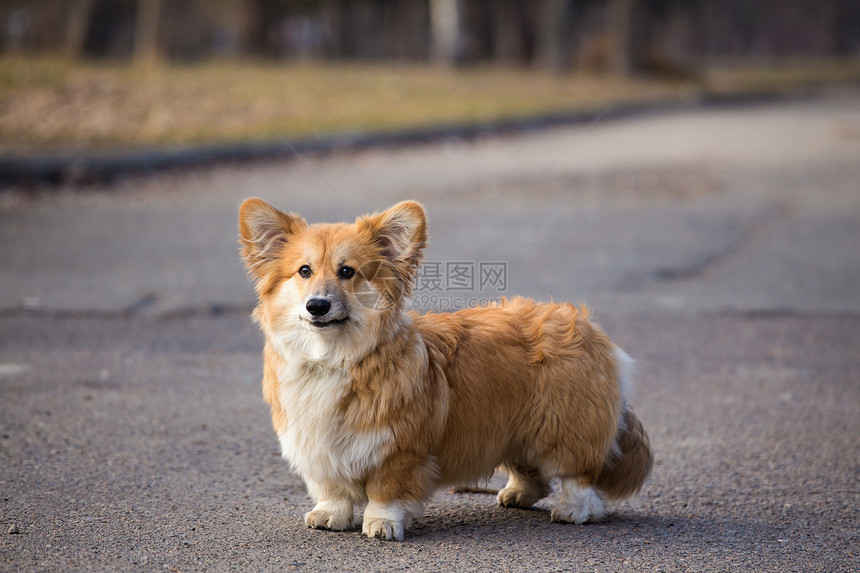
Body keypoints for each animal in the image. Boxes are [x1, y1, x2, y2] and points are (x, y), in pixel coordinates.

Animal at [237, 199, 652, 540]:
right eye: (304, 271)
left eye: (347, 272)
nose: (317, 306)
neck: (332, 358)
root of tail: (584, 324)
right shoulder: (319, 448)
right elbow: (333, 490)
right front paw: (330, 516)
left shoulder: (398, 448)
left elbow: (385, 491)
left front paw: (382, 523)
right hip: (510, 427)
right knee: (530, 471)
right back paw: (517, 494)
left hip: (562, 427)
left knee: (576, 476)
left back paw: (572, 509)